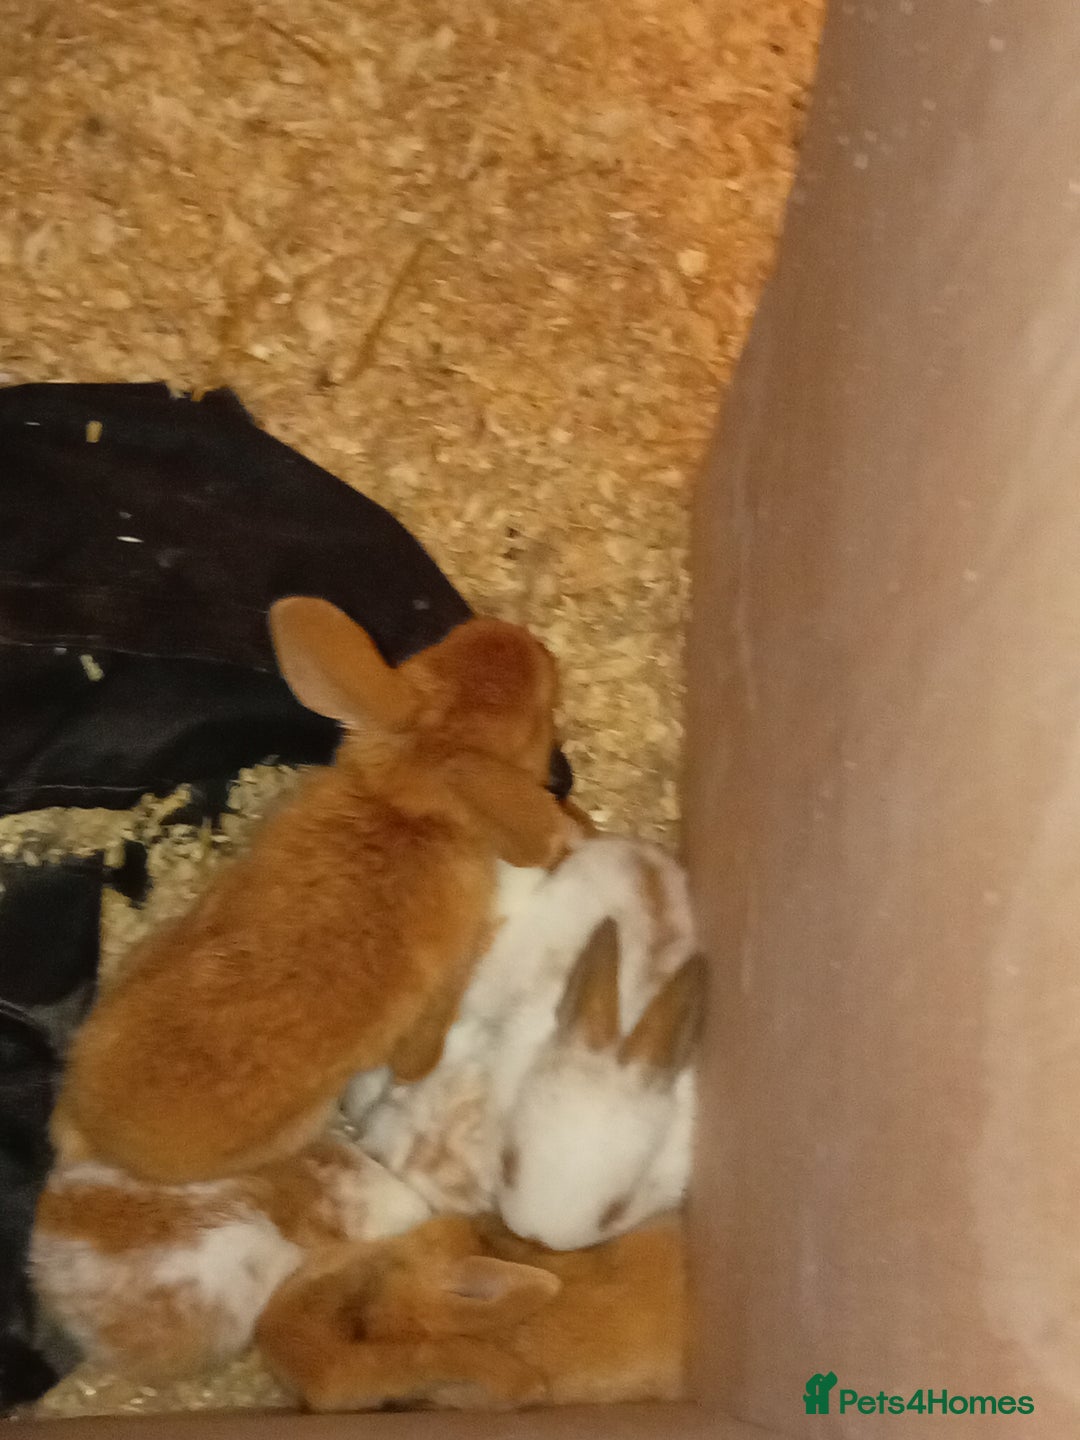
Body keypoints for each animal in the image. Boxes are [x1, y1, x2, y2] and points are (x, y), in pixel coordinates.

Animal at [53, 600, 572, 1184]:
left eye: (439, 645)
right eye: (541, 714)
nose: (520, 638)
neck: (403, 810)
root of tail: (93, 1136)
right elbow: (419, 1052)